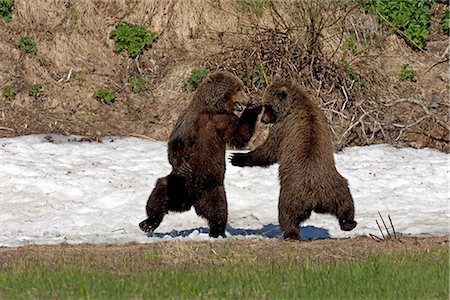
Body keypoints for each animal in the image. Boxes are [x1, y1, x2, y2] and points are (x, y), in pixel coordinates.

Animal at [139, 71, 262, 238]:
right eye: (238, 88)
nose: (248, 99)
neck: (212, 110)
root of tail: (189, 201)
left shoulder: (223, 121)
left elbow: (238, 135)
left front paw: (254, 108)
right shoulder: (191, 120)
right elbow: (177, 141)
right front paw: (182, 164)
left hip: (213, 188)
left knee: (218, 209)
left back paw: (218, 232)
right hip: (179, 183)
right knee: (160, 190)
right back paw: (148, 223)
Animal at [232, 77, 356, 239]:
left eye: (267, 105)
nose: (264, 120)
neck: (295, 105)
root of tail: (316, 198)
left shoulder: (283, 127)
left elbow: (269, 151)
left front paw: (237, 158)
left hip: (292, 193)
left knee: (286, 213)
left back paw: (290, 233)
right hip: (334, 187)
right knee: (346, 200)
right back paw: (349, 223)